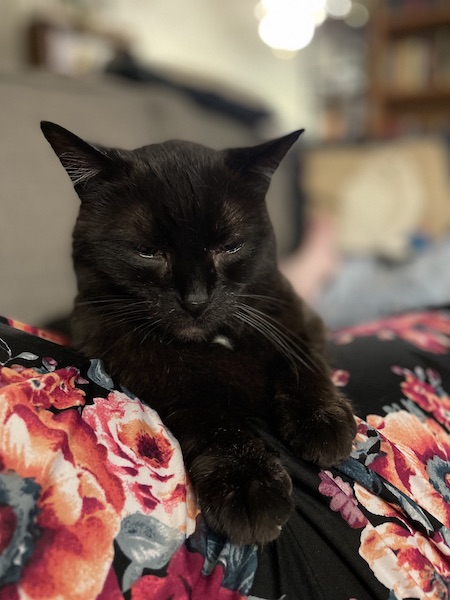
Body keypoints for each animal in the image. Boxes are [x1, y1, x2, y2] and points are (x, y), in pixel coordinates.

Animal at [41, 120, 356, 544]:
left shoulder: (293, 315)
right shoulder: (143, 364)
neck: (213, 341)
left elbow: (301, 355)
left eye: (231, 246)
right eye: (147, 251)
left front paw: (323, 420)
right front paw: (246, 482)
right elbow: (213, 417)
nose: (196, 299)